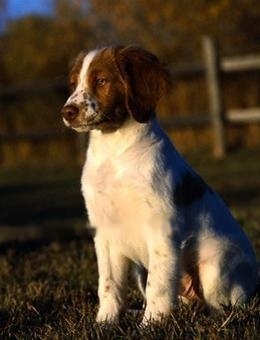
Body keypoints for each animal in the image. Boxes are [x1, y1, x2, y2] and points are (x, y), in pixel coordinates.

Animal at [61, 45, 260, 324]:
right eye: (73, 83)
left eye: (101, 81)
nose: (67, 112)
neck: (114, 151)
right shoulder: (104, 231)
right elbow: (109, 285)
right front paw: (105, 323)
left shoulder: (161, 228)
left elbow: (159, 285)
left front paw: (151, 324)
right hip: (140, 270)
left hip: (215, 266)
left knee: (224, 307)